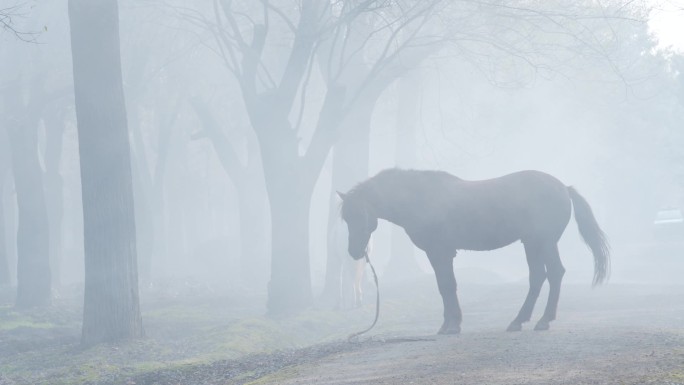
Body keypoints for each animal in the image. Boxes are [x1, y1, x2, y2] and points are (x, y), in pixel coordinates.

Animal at [340, 168, 612, 332]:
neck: (422, 199)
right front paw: (449, 324)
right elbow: (445, 286)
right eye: (345, 218)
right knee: (538, 277)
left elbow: (447, 286)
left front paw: (451, 325)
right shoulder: (440, 254)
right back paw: (519, 321)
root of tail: (564, 188)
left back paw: (543, 321)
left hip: (544, 242)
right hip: (532, 243)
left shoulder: (440, 252)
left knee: (554, 274)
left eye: (360, 215)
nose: (354, 252)